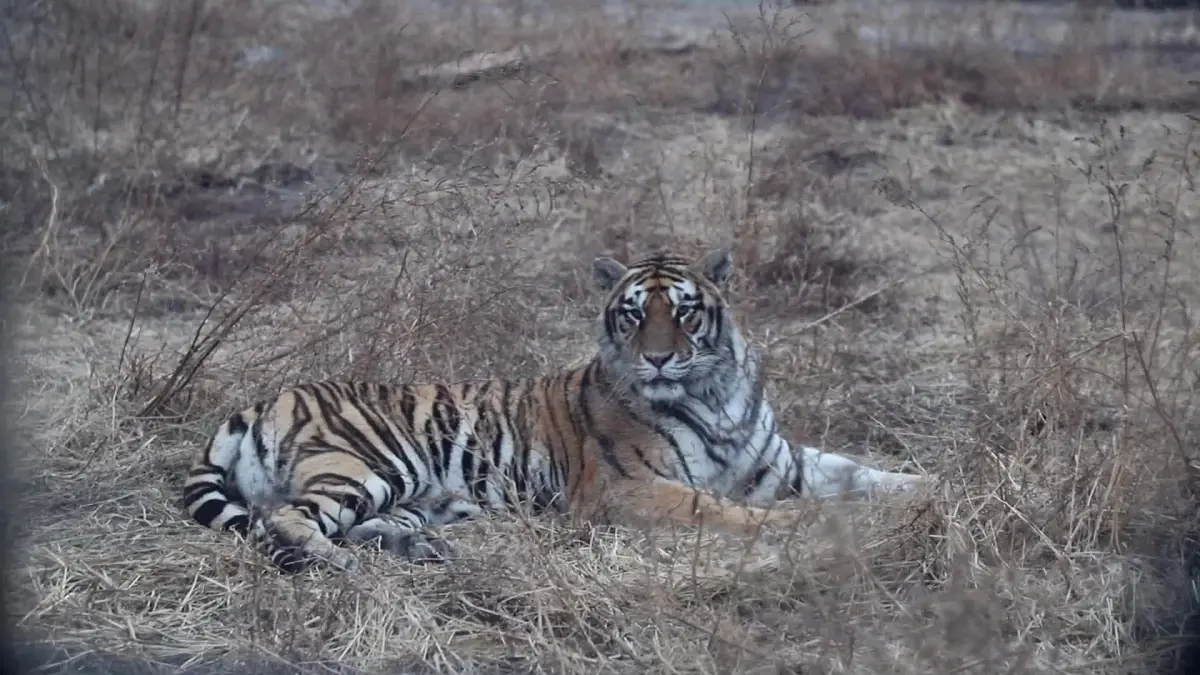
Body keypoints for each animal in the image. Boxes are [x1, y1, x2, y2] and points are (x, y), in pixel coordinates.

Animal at [182, 249, 926, 569]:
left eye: (684, 311)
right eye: (634, 313)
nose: (660, 359)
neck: (712, 394)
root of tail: (261, 398)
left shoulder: (779, 461)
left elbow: (860, 470)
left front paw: (930, 486)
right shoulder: (629, 488)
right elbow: (720, 508)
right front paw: (800, 522)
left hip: (418, 494)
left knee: (360, 525)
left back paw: (422, 547)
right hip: (367, 466)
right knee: (284, 519)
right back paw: (334, 562)